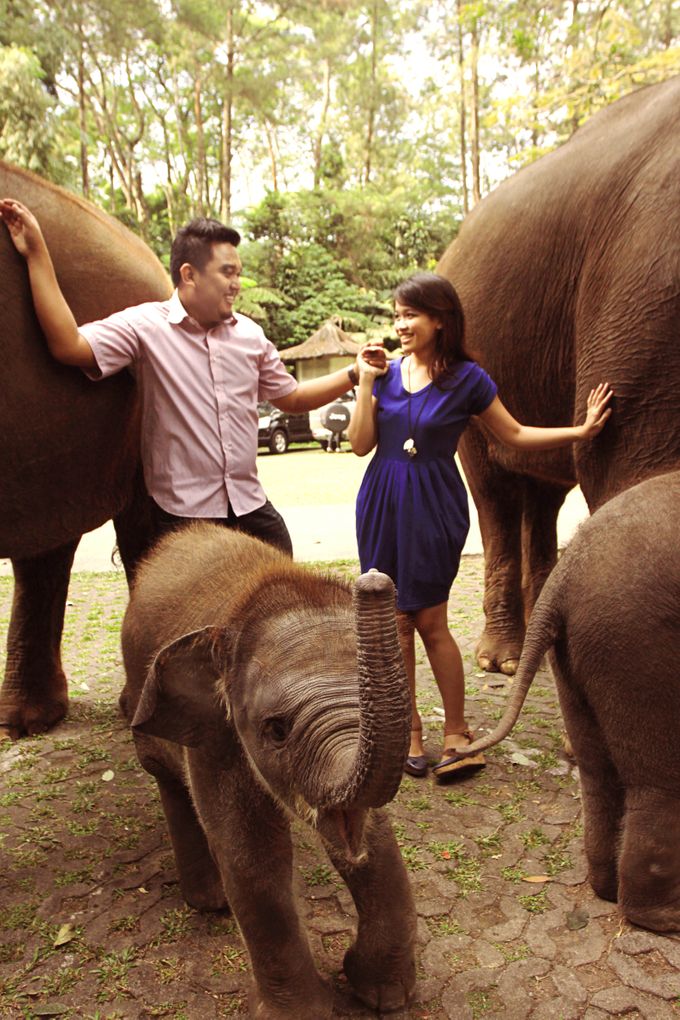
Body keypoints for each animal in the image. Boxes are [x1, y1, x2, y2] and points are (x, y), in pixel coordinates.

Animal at [120, 522, 417, 1015]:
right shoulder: (216, 736)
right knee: (167, 778)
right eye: (276, 730)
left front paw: (384, 997)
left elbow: (374, 841)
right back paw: (210, 902)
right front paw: (301, 1014)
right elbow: (253, 854)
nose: (374, 577)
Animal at [438, 77, 676, 677]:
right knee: (495, 494)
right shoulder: (644, 283)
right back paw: (501, 661)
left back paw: (536, 660)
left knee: (543, 496)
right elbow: (629, 468)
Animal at [456, 469, 680, 934]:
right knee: (661, 783)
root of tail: (563, 581)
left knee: (598, 773)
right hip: (642, 647)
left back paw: (606, 889)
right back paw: (668, 919)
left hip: (591, 648)